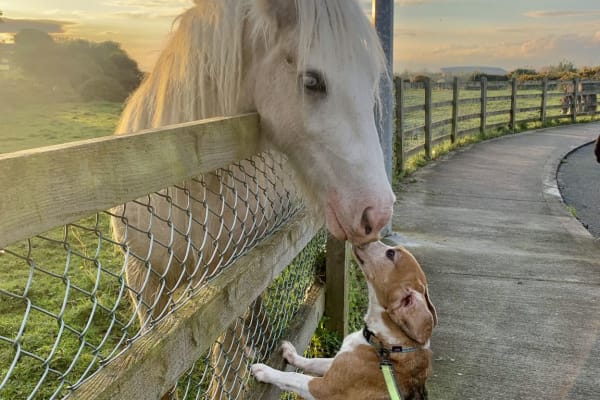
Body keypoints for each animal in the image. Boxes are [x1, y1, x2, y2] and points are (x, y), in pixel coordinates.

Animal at [110, 0, 396, 396]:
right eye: (312, 81)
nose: (377, 213)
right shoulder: (144, 284)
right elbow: (158, 373)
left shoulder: (226, 288)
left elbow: (226, 356)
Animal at [251, 241, 438, 400]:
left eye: (391, 254)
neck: (381, 342)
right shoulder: (336, 363)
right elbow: (312, 362)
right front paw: (291, 355)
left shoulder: (325, 388)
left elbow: (293, 376)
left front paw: (266, 371)